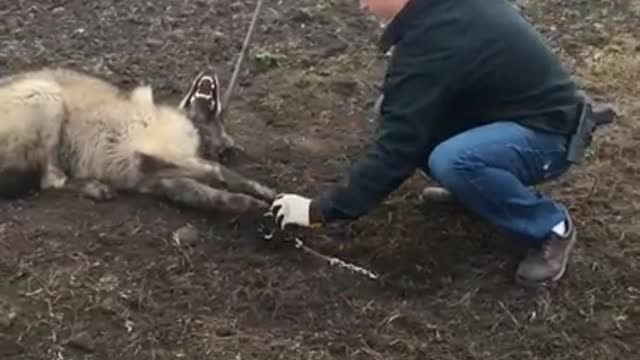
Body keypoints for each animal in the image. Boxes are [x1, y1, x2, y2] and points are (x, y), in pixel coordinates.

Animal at [1, 67, 278, 214]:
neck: (199, 135)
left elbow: (212, 192)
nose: (211, 76)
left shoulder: (158, 174)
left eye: (216, 111)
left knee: (51, 180)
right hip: (47, 98)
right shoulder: (157, 153)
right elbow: (220, 171)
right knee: (51, 179)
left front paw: (249, 201)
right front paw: (259, 191)